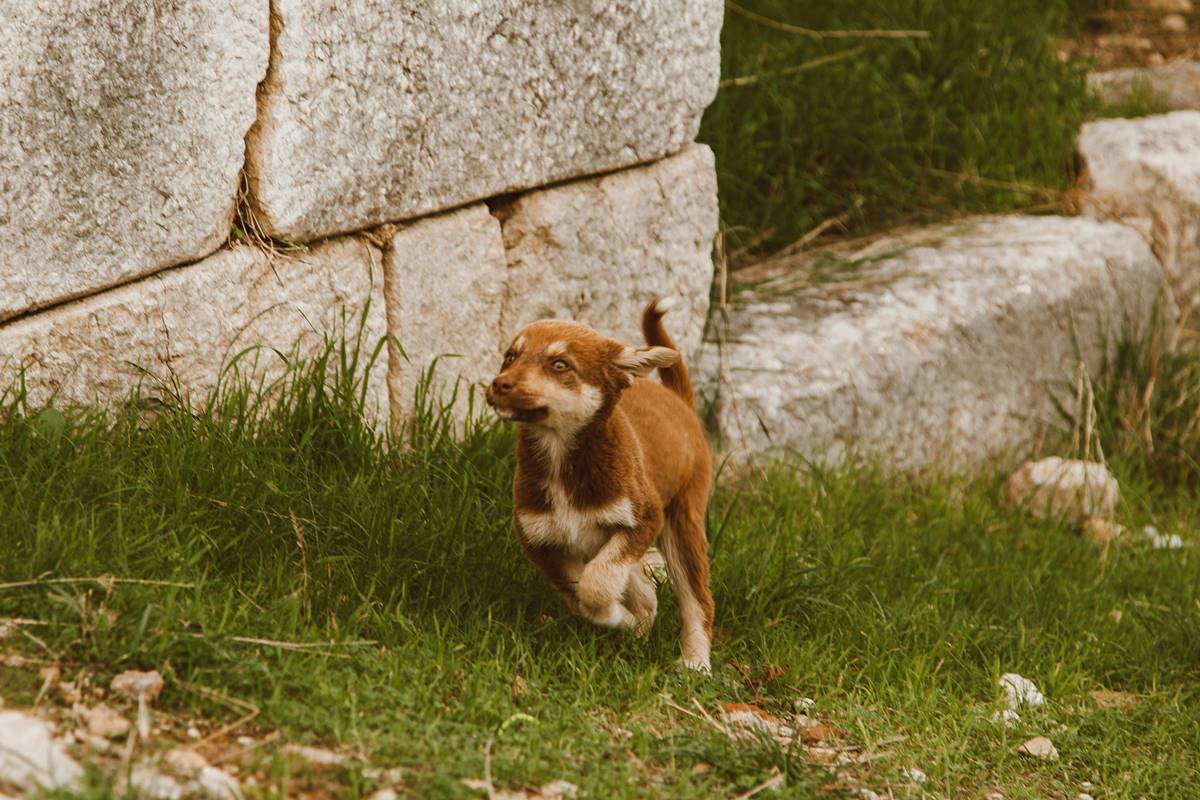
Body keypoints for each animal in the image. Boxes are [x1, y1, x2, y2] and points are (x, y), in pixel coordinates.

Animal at [484, 297, 710, 671]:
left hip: (682, 524)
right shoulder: (539, 541)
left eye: (560, 365)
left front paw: (623, 617)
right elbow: (580, 593)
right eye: (510, 356)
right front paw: (626, 620)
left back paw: (695, 664)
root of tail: (680, 402)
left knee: (697, 601)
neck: (560, 458)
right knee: (645, 588)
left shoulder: (643, 519)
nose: (499, 384)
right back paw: (640, 631)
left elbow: (597, 584)